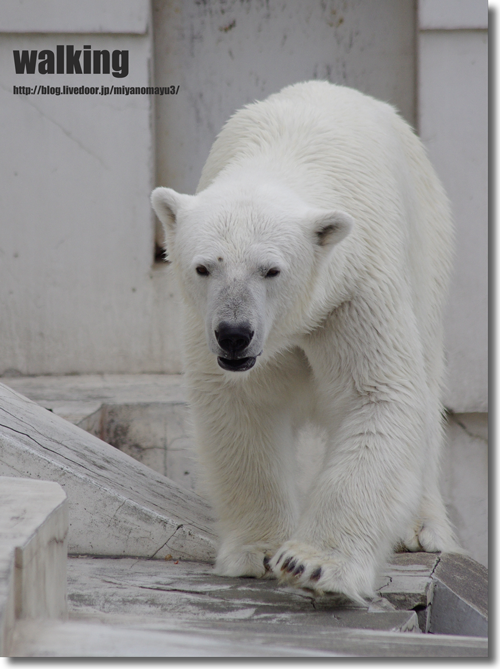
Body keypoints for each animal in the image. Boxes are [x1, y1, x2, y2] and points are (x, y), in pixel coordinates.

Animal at [151, 81, 458, 604]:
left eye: (271, 269)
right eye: (203, 266)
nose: (234, 334)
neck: (283, 156)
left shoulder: (353, 292)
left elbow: (379, 396)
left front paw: (313, 564)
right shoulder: (205, 323)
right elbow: (241, 407)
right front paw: (259, 550)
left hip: (428, 247)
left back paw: (422, 526)